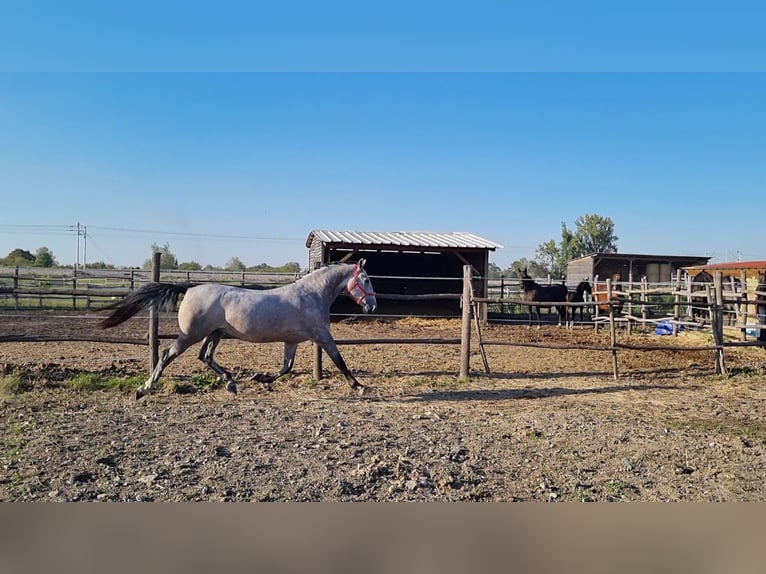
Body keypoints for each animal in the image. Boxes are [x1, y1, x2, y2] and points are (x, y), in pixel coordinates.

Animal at [99, 260, 378, 400]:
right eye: (365, 279)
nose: (372, 305)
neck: (312, 294)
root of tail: (190, 288)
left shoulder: (292, 341)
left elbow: (286, 368)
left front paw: (259, 377)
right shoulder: (322, 335)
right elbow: (340, 361)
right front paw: (360, 386)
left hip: (215, 334)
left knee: (205, 356)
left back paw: (231, 383)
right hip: (192, 334)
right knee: (168, 355)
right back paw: (144, 389)